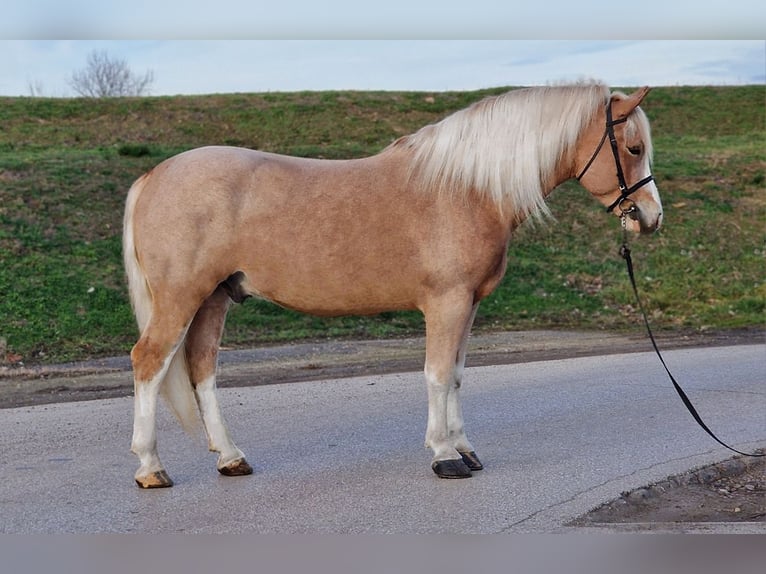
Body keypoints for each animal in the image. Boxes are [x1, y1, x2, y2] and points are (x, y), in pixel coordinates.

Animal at [123, 81, 662, 488]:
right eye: (633, 148)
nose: (650, 218)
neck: (465, 189)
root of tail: (153, 176)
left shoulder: (468, 306)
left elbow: (457, 375)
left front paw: (465, 448)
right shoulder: (447, 302)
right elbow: (437, 374)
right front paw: (445, 455)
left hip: (215, 297)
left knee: (202, 370)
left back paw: (231, 457)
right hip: (181, 298)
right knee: (149, 361)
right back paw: (151, 467)